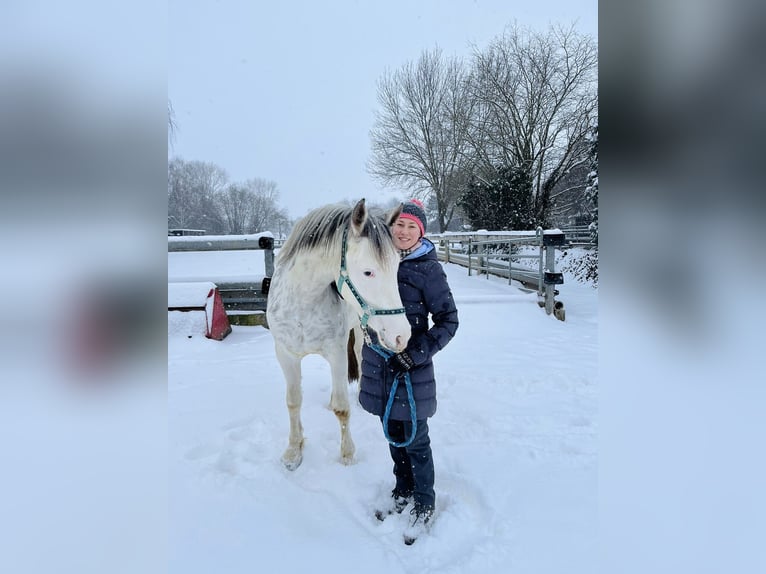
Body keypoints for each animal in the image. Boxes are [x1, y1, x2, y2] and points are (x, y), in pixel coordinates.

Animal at [268, 200, 412, 470]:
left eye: (397, 267)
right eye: (367, 272)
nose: (402, 336)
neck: (302, 302)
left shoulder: (336, 352)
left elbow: (342, 409)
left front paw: (347, 454)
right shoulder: (286, 355)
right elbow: (293, 401)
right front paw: (293, 451)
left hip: (358, 332)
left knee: (358, 356)